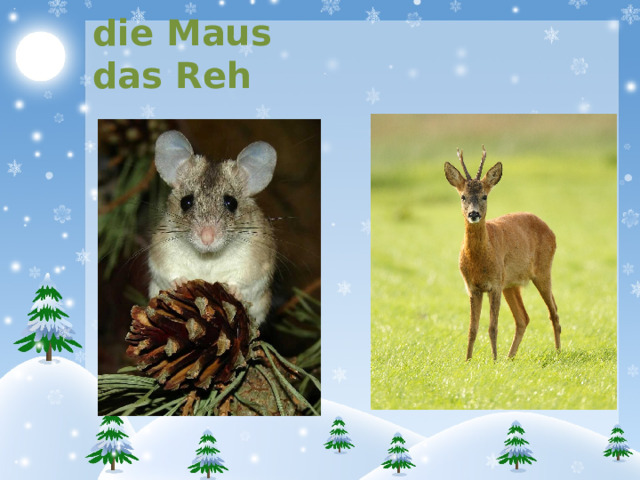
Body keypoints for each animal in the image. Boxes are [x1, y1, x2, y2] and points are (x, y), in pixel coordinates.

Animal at [443, 146, 560, 360]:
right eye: (463, 196)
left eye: (484, 196)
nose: (473, 214)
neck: (479, 260)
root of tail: (550, 229)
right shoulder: (472, 287)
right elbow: (472, 328)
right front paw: (468, 360)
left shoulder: (495, 284)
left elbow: (492, 327)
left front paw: (494, 360)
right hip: (511, 284)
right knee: (523, 318)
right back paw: (510, 357)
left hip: (542, 270)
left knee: (553, 310)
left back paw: (557, 352)